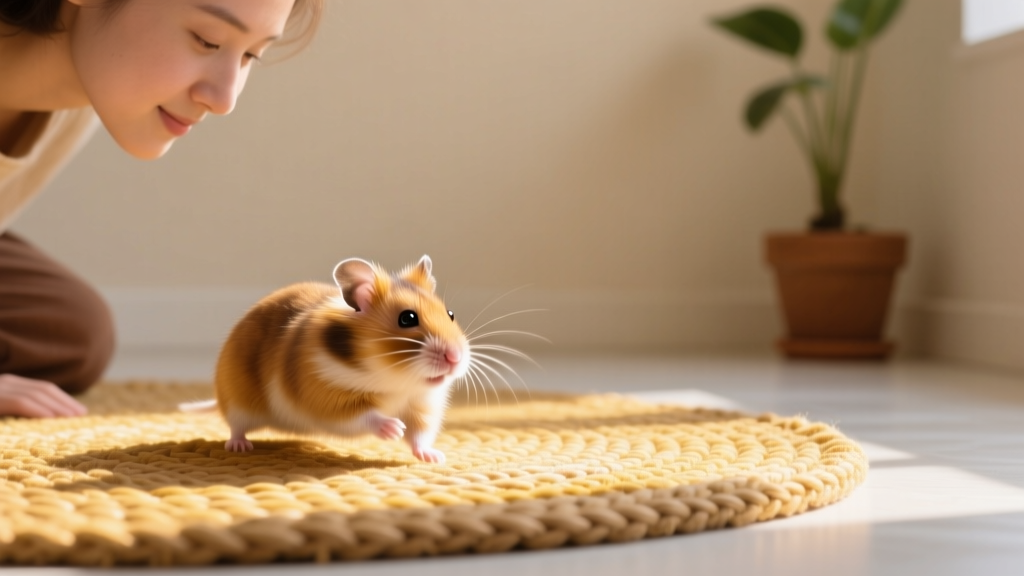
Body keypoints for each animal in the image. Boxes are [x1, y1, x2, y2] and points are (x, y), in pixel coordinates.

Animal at [192, 255, 469, 464]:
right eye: (407, 318)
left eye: (450, 314)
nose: (455, 358)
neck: (394, 381)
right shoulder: (325, 396)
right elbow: (364, 416)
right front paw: (394, 428)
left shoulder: (422, 404)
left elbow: (419, 434)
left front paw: (435, 458)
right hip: (238, 401)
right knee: (236, 426)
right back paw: (240, 447)